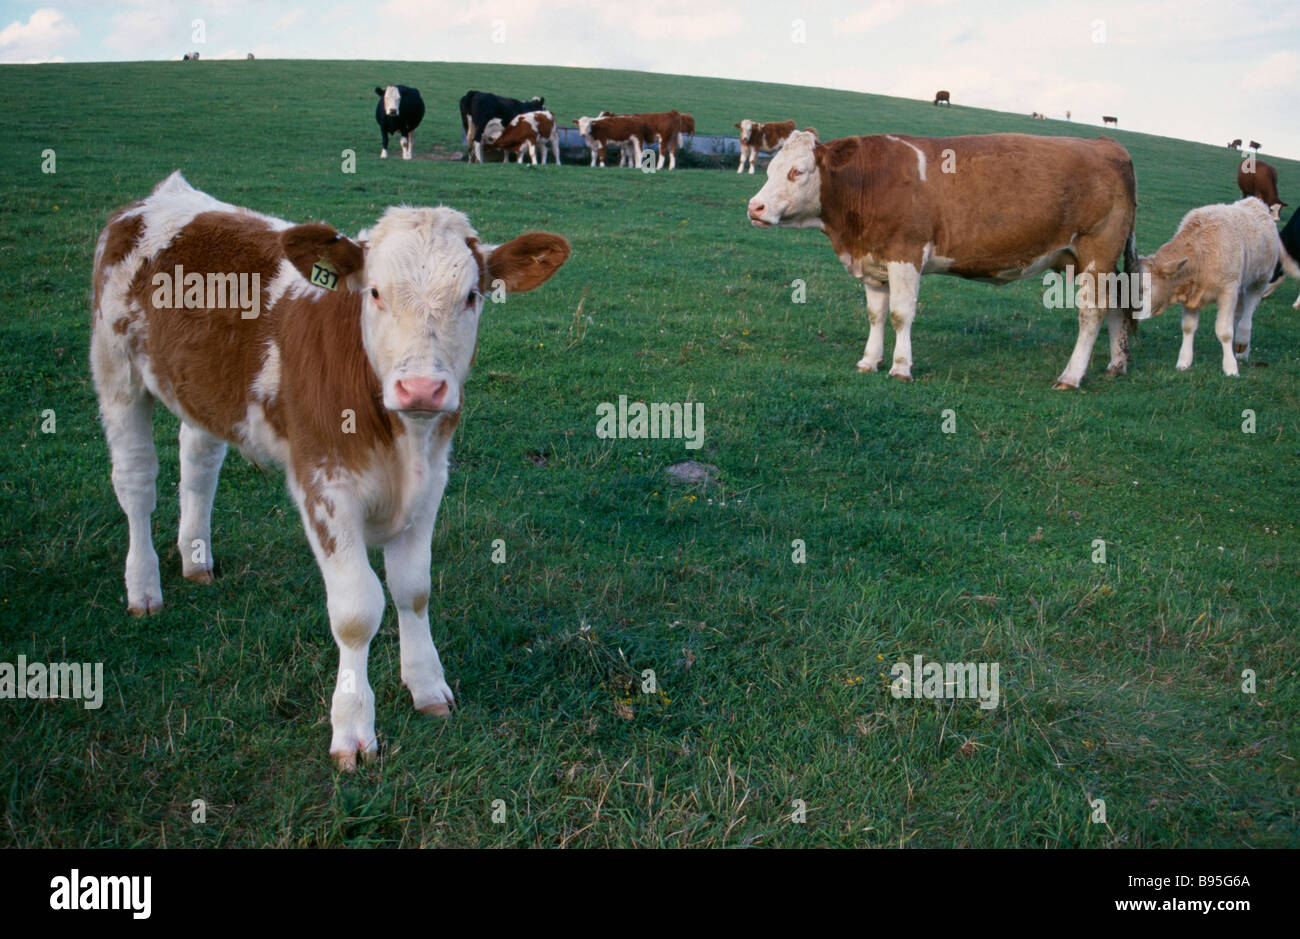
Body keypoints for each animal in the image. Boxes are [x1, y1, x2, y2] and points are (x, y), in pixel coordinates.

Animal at [90, 171, 570, 769]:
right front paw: (353, 728)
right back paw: (143, 587)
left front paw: (427, 687)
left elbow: (414, 589)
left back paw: (196, 558)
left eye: (471, 296)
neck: (399, 439)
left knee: (198, 463)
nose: (421, 388)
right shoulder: (325, 487)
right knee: (136, 484)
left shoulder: (432, 482)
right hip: (116, 372)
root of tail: (159, 197)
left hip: (202, 389)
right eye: (375, 292)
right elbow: (357, 610)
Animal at [746, 131, 1141, 389]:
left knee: (1091, 314)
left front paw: (901, 368)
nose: (755, 207)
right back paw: (1117, 364)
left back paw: (1071, 377)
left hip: (1097, 252)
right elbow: (876, 315)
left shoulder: (905, 253)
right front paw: (868, 361)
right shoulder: (873, 262)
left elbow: (900, 315)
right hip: (1081, 259)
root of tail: (1106, 144)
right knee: (1116, 305)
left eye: (798, 171)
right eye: (769, 169)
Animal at [1139, 198, 1299, 371]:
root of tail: (1255, 202)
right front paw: (1184, 361)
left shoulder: (1228, 291)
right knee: (1239, 313)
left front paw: (1230, 367)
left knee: (1248, 314)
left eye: (1146, 288)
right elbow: (1188, 327)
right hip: (1241, 286)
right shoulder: (1190, 294)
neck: (1202, 254)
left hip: (1259, 280)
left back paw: (1242, 344)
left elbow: (1224, 332)